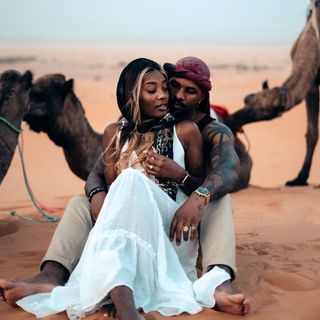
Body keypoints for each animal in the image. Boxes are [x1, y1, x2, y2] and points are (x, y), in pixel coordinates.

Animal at [225, 0, 320, 186]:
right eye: (247, 99)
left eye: (264, 112)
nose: (231, 119)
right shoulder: (312, 85)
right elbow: (312, 133)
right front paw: (299, 178)